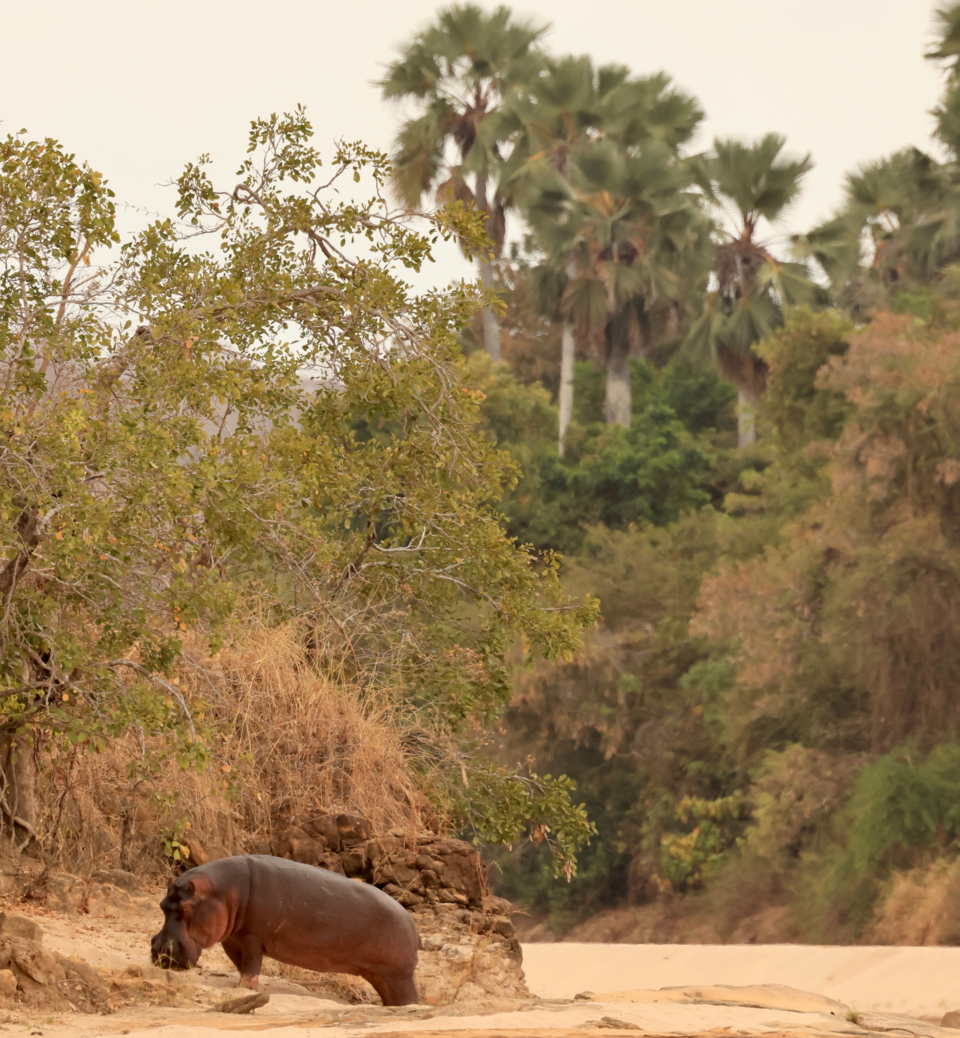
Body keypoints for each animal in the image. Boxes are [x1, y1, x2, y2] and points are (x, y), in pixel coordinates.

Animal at [150, 854, 420, 1005]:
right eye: (162, 905)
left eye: (185, 909)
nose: (162, 951)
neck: (223, 892)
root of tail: (411, 922)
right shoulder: (232, 941)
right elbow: (242, 969)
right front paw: (241, 990)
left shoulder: (251, 938)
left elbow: (251, 968)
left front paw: (245, 991)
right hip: (381, 976)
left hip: (398, 976)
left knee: (409, 999)